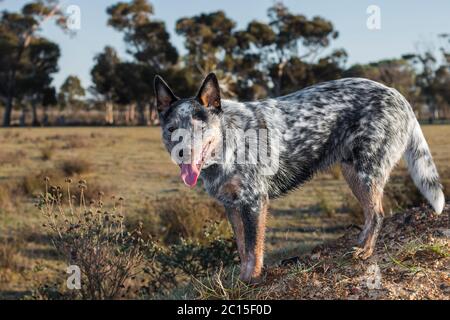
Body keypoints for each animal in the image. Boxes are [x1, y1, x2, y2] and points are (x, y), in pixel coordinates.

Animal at [153, 72, 444, 282]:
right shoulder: (232, 206)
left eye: (200, 127)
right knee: (371, 214)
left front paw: (252, 280)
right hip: (353, 173)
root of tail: (400, 96)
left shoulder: (254, 202)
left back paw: (366, 251)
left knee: (379, 214)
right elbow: (242, 248)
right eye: (172, 129)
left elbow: (254, 248)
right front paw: (242, 279)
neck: (228, 142)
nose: (183, 153)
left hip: (367, 171)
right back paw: (360, 242)